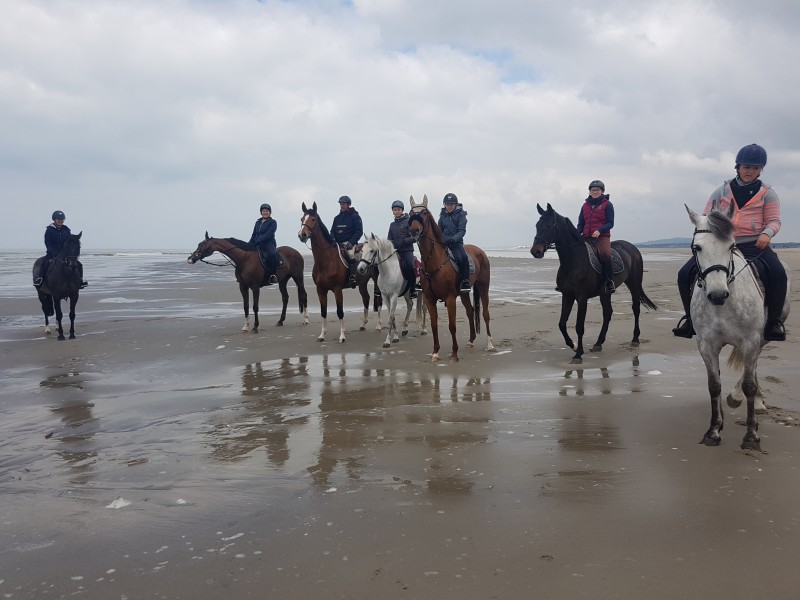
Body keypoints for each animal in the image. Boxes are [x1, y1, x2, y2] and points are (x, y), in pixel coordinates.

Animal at [298, 202, 382, 342]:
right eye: (302, 219)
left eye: (313, 219)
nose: (302, 235)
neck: (326, 260)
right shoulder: (320, 290)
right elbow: (323, 311)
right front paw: (322, 335)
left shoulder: (337, 290)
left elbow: (340, 311)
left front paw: (342, 336)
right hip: (362, 283)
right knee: (366, 298)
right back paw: (363, 324)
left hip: (376, 281)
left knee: (379, 300)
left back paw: (379, 326)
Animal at [406, 193, 494, 360]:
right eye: (410, 213)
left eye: (424, 213)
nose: (414, 231)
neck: (434, 261)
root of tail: (480, 251)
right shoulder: (430, 299)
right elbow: (434, 325)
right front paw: (435, 352)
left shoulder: (450, 298)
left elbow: (452, 326)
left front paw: (454, 353)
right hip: (464, 293)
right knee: (470, 311)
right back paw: (471, 340)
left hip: (483, 286)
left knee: (485, 313)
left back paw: (490, 344)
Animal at [532, 202, 656, 364]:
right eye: (537, 225)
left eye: (549, 225)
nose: (535, 252)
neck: (573, 261)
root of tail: (632, 247)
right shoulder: (567, 295)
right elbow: (562, 324)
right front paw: (573, 346)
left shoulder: (582, 297)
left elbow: (579, 326)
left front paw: (578, 354)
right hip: (605, 292)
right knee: (608, 313)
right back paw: (598, 343)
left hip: (634, 284)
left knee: (636, 308)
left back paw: (635, 340)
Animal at [684, 202, 792, 450]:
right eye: (697, 248)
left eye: (731, 246)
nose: (717, 295)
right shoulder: (706, 344)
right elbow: (714, 384)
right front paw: (714, 430)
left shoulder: (750, 341)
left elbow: (749, 385)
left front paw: (751, 436)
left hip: (762, 338)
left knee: (753, 367)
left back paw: (753, 401)